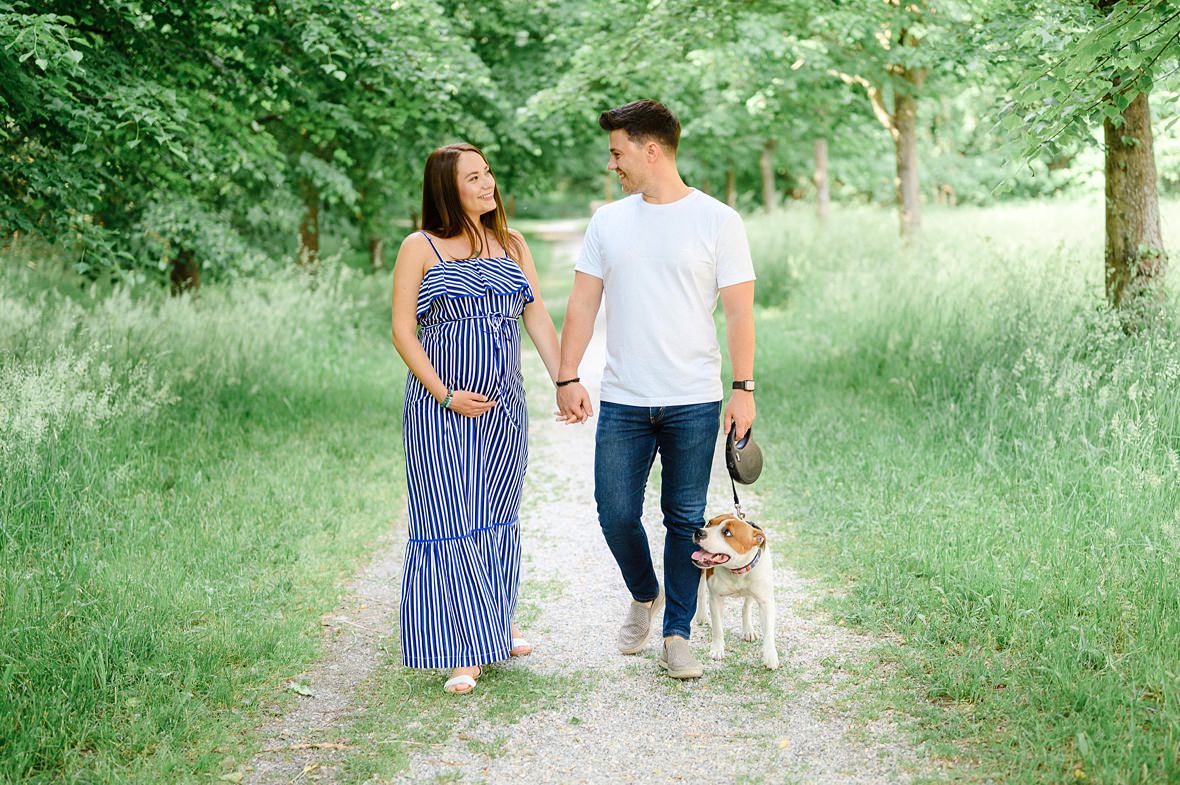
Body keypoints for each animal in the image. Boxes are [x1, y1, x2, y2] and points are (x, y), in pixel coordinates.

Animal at [690, 513, 779, 669]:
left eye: (727, 533)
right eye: (709, 523)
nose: (699, 532)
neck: (737, 570)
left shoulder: (766, 602)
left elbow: (769, 631)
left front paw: (770, 656)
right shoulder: (716, 598)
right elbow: (717, 627)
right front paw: (717, 649)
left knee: (747, 605)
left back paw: (748, 629)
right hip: (702, 571)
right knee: (700, 590)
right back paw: (701, 615)